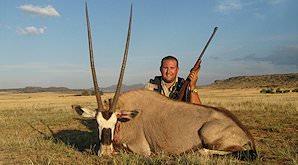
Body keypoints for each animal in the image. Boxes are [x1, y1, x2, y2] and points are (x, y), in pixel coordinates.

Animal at [71, 0, 256, 159]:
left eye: (115, 122)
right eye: (97, 123)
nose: (105, 152)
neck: (128, 116)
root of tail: (244, 132)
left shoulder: (142, 150)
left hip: (208, 134)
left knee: (241, 152)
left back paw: (197, 151)